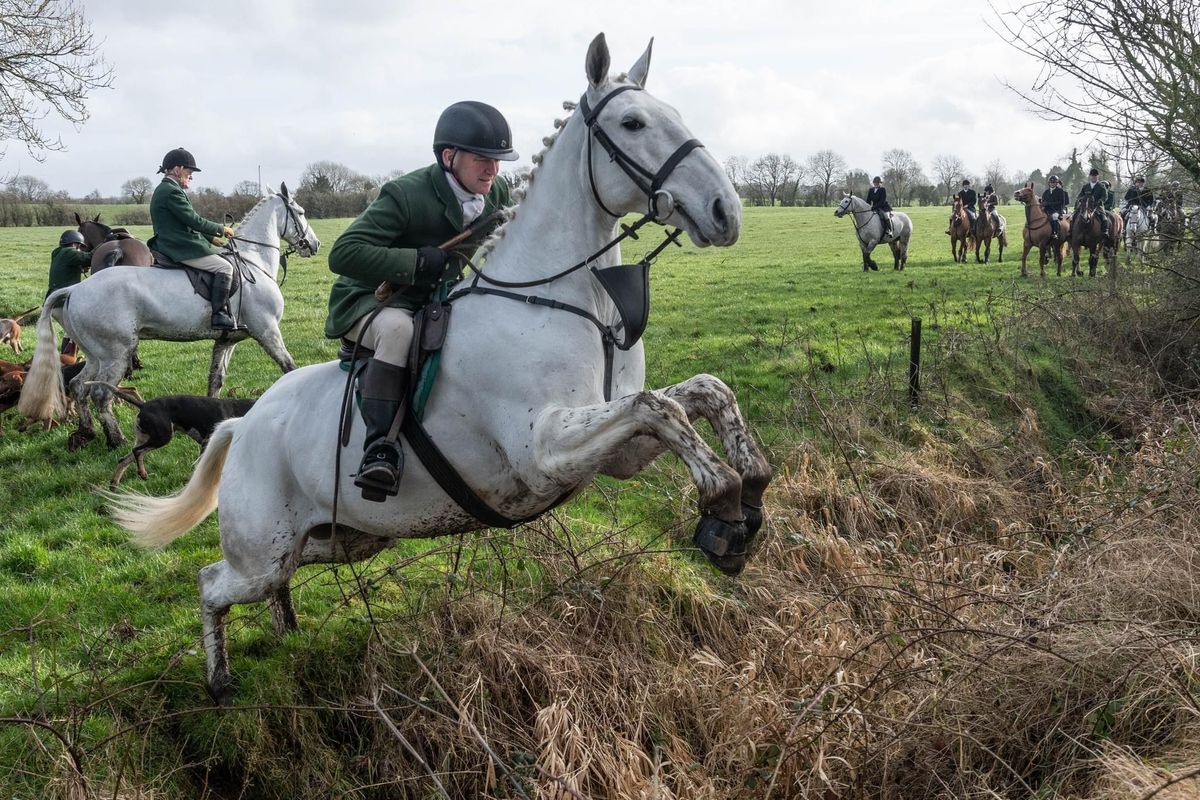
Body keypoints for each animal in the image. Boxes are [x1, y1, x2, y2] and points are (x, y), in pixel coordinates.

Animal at [20, 185, 319, 453]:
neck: (252, 261)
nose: (314, 244)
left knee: (78, 386)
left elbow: (215, 381)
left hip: (95, 355)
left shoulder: (226, 340)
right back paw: (116, 440)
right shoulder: (267, 330)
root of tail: (74, 290)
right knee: (101, 394)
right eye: (301, 212)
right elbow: (289, 368)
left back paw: (86, 432)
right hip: (115, 354)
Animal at [108, 34, 772, 705]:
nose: (727, 212)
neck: (564, 299)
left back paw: (287, 631)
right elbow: (661, 407)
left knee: (270, 581)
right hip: (262, 551)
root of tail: (242, 426)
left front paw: (750, 490)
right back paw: (219, 681)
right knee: (210, 583)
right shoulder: (545, 451)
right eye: (633, 123)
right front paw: (723, 508)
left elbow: (701, 395)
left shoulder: (618, 452)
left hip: (338, 538)